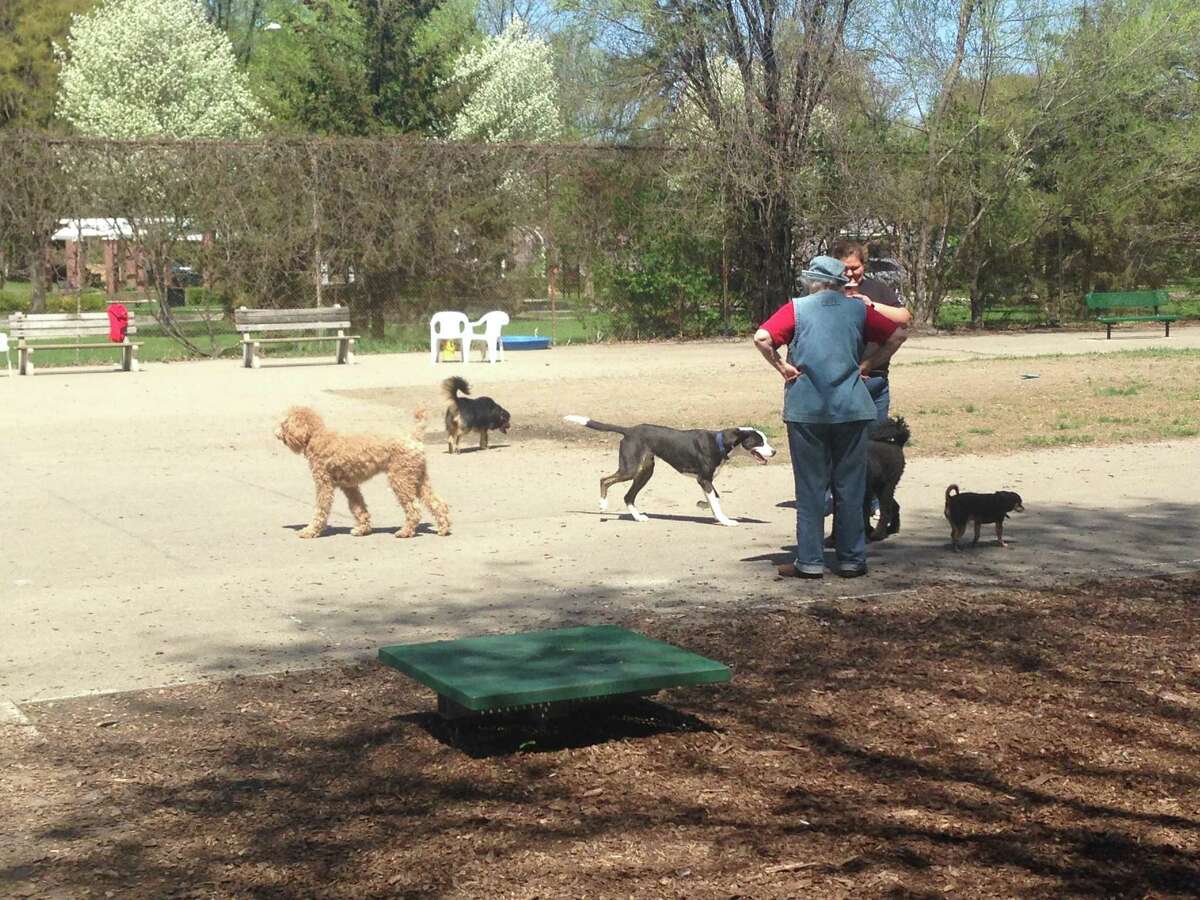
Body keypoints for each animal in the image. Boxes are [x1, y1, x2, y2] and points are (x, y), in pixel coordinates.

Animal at [274, 408, 451, 542]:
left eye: (284, 424)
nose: (276, 434)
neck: (316, 437)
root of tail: (413, 438)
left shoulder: (324, 484)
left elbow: (321, 509)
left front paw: (310, 531)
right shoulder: (349, 486)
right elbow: (358, 507)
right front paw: (362, 529)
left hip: (400, 479)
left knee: (414, 509)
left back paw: (405, 532)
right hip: (418, 478)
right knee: (437, 503)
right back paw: (443, 528)